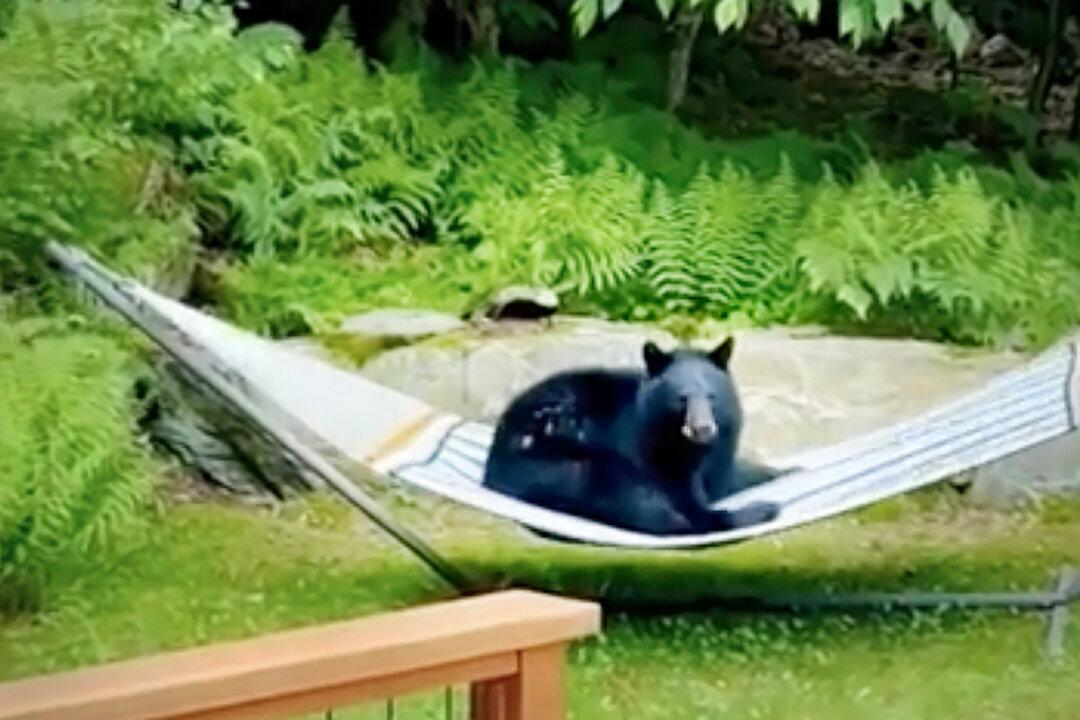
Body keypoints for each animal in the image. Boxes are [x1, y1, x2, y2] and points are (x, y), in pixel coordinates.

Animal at [481, 337, 784, 537]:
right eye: (682, 398)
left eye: (712, 397)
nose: (703, 429)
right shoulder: (648, 447)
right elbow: (680, 495)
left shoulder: (720, 454)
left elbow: (733, 475)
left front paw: (778, 472)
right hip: (563, 461)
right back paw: (762, 509)